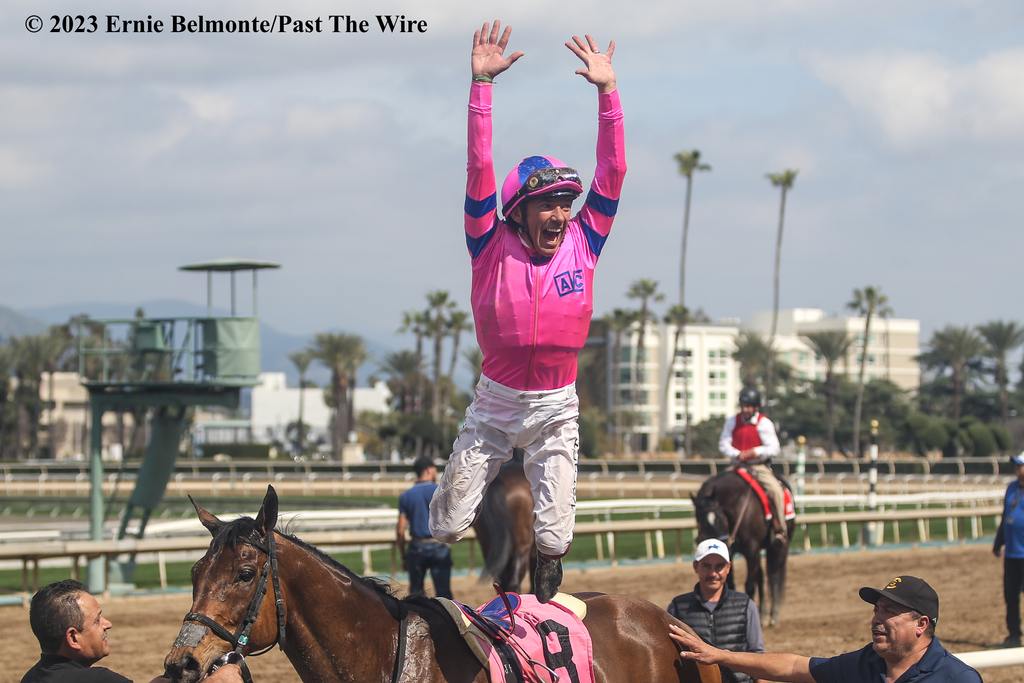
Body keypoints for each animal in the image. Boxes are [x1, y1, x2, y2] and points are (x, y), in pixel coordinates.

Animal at [692, 471, 794, 626]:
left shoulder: (751, 549)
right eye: (699, 520)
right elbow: (731, 583)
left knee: (774, 575)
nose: (717, 543)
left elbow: (750, 585)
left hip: (780, 546)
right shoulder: (731, 553)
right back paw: (762, 614)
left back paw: (773, 616)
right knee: (761, 575)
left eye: (719, 518)